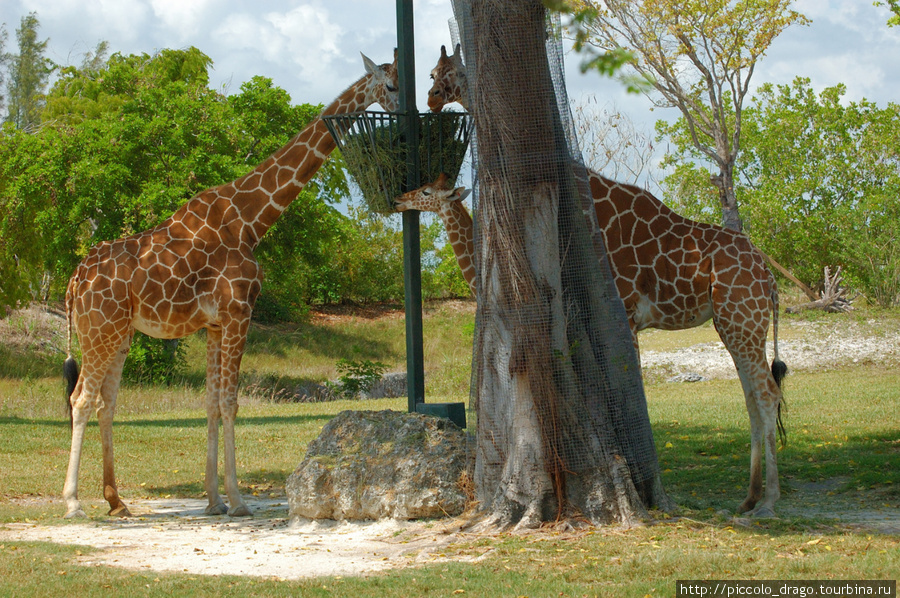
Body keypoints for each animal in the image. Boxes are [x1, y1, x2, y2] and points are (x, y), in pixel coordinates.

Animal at [61, 52, 400, 520]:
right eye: (391, 85)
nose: (411, 109)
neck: (251, 219)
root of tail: (75, 280)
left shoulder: (215, 324)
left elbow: (210, 403)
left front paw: (214, 499)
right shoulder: (240, 313)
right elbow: (230, 403)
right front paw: (238, 501)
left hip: (118, 334)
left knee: (105, 402)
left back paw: (117, 500)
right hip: (99, 330)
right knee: (80, 399)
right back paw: (74, 502)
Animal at [416, 44, 788, 516]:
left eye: (447, 73)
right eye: (432, 73)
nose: (431, 99)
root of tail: (769, 277)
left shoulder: (625, 312)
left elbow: (629, 396)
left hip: (741, 317)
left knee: (766, 394)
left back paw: (769, 500)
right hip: (735, 322)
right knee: (754, 396)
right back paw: (750, 496)